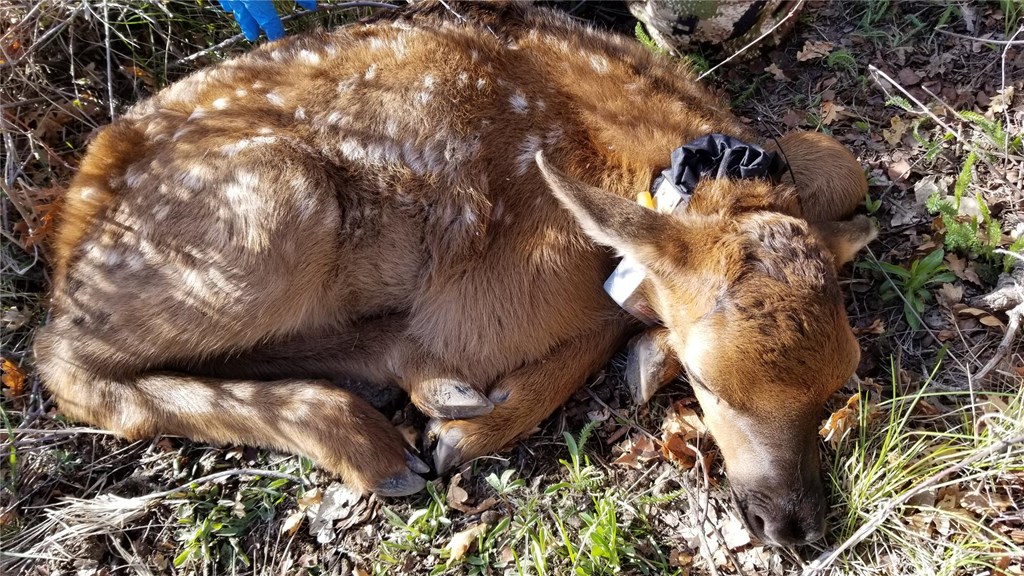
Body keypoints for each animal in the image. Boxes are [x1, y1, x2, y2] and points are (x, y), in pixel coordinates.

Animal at [36, 2, 876, 545]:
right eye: (709, 382)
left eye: (842, 375)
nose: (793, 526)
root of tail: (75, 213)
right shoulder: (489, 301)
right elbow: (592, 322)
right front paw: (474, 430)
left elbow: (841, 162)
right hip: (277, 205)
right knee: (68, 365)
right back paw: (380, 444)